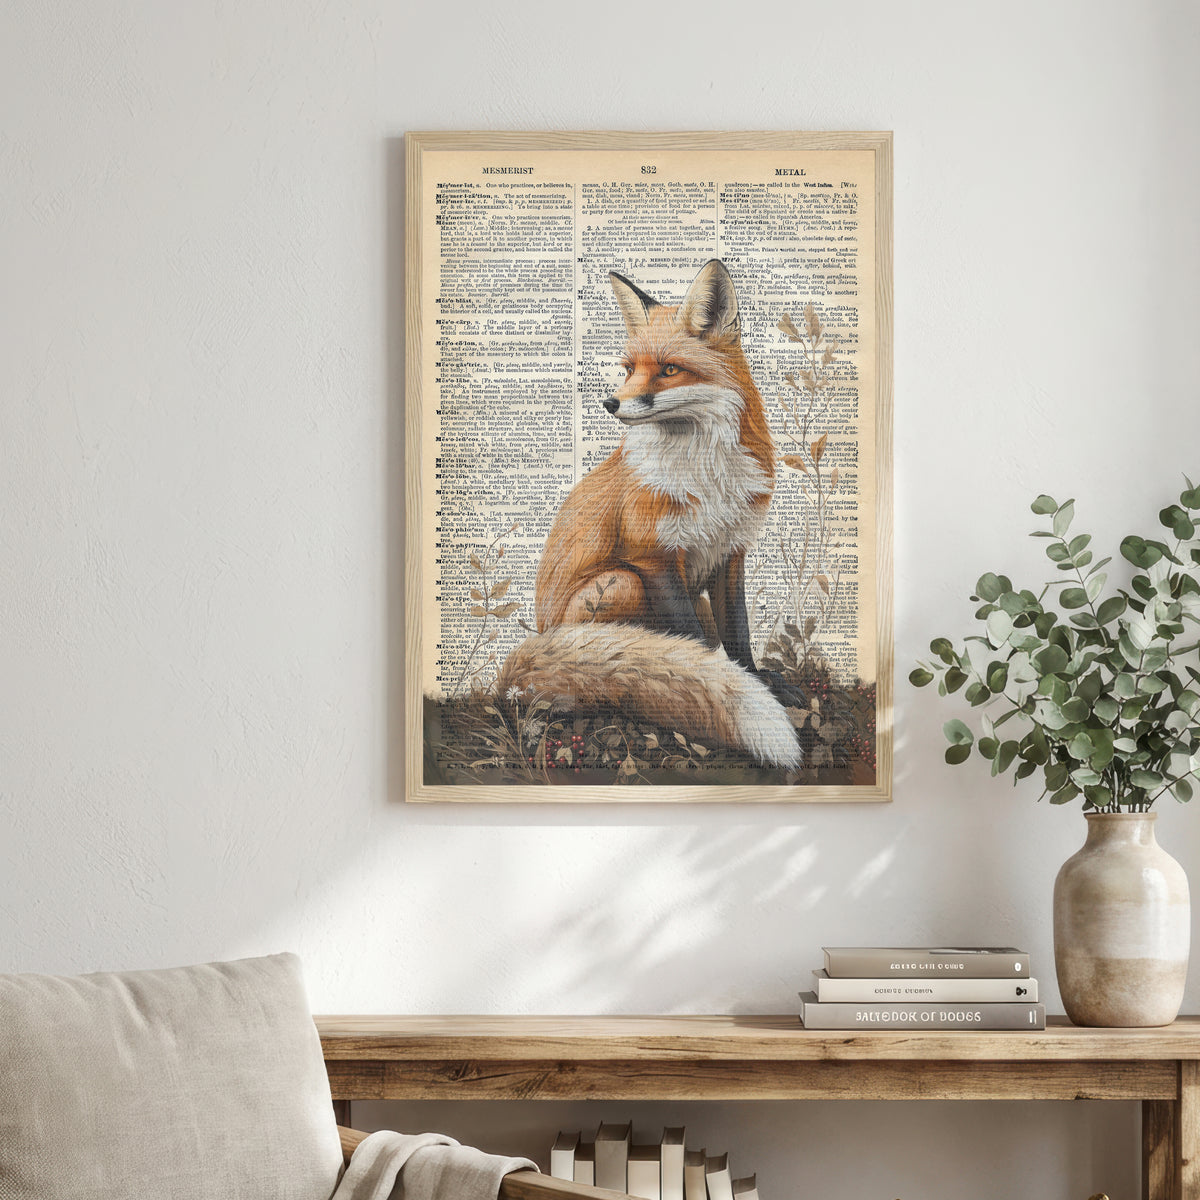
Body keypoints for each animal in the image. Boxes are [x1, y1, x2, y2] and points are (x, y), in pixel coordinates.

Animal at [496, 259, 802, 769]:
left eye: (669, 370)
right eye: (628, 370)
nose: (610, 402)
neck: (706, 474)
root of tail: (541, 635)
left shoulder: (731, 553)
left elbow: (738, 630)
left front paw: (755, 677)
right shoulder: (652, 557)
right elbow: (691, 642)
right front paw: (718, 682)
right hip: (621, 583)